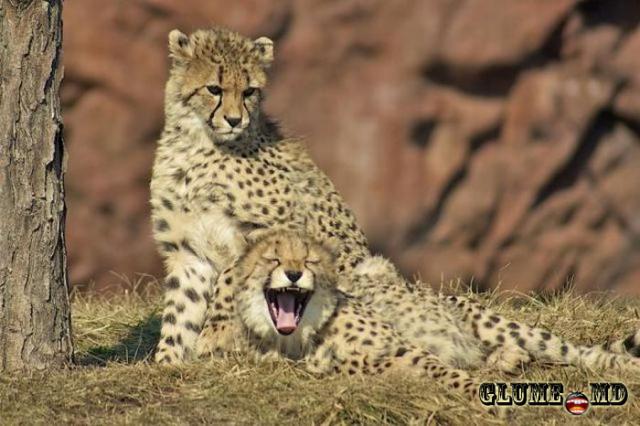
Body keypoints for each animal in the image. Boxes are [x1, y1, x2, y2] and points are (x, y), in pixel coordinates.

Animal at [151, 26, 373, 364]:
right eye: (214, 88)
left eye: (249, 92)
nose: (234, 120)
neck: (199, 144)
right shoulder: (188, 250)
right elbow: (181, 306)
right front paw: (168, 359)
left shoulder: (279, 228)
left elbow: (232, 275)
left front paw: (215, 334)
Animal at [196, 231, 640, 403]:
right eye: (273, 259)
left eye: (308, 261)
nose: (293, 273)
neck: (303, 334)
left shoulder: (403, 346)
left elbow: (445, 372)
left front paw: (478, 396)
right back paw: (506, 359)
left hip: (487, 318)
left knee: (574, 351)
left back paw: (621, 365)